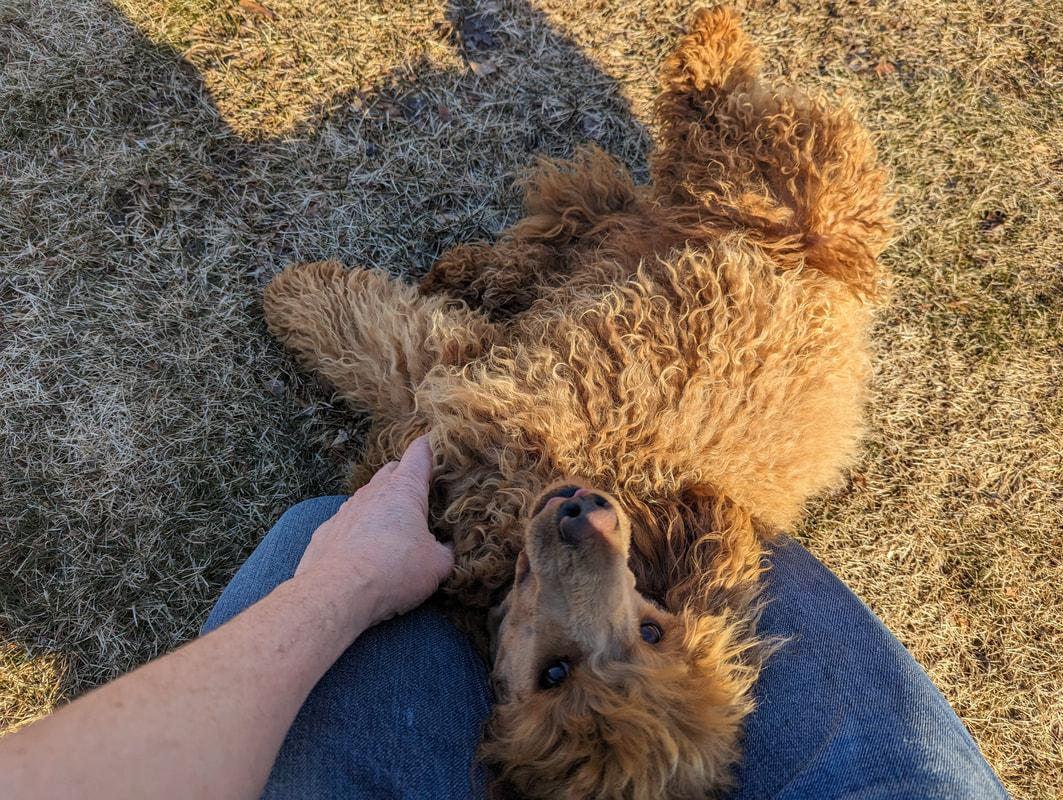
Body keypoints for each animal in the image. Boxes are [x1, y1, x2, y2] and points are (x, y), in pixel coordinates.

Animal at [263, 6, 892, 798]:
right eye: (651, 628)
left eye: (556, 675)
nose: (579, 514)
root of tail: (845, 287)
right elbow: (363, 326)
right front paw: (288, 289)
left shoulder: (450, 388)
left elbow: (368, 335)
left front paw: (290, 294)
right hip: (765, 194)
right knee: (682, 145)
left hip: (741, 196)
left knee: (629, 184)